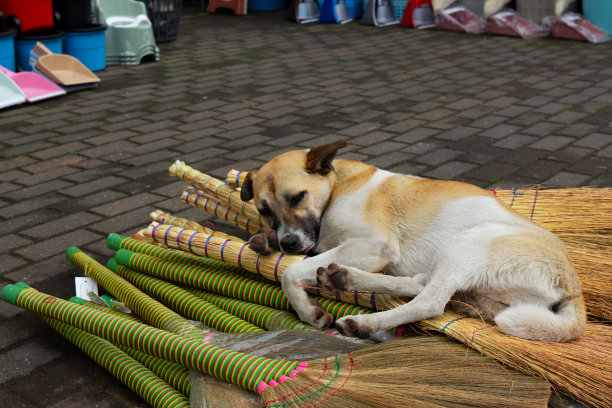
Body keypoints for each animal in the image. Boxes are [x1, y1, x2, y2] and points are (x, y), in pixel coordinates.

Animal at [238, 140, 584, 342]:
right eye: (264, 210)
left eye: (297, 197)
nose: (288, 244)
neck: (338, 185)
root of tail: (572, 285)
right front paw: (265, 239)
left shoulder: (375, 246)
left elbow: (290, 272)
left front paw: (307, 312)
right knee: (420, 285)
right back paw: (345, 278)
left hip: (465, 244)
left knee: (429, 301)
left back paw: (365, 322)